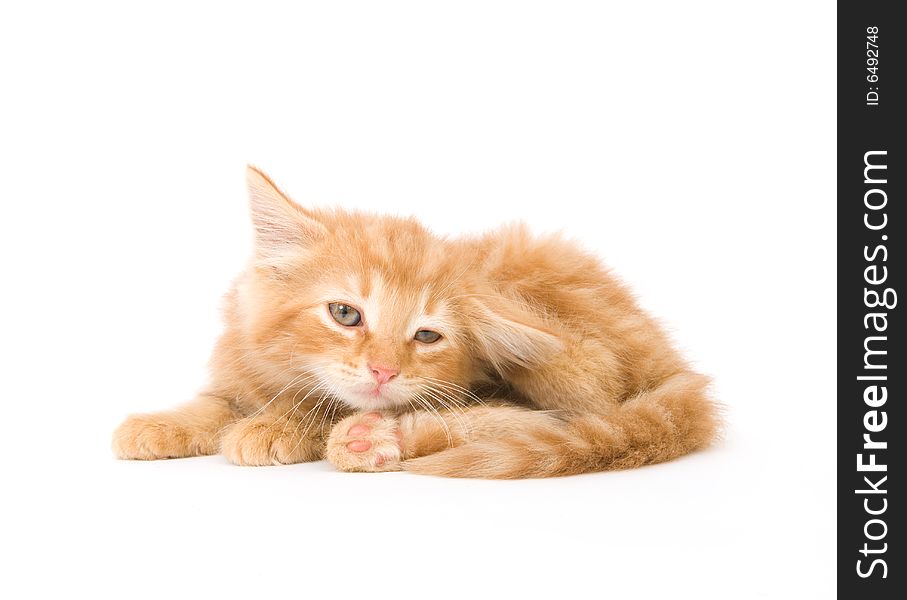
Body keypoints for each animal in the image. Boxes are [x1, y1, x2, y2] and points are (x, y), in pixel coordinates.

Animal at [113, 166, 724, 480]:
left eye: (426, 335)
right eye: (345, 314)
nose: (384, 372)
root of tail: (674, 363)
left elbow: (317, 406)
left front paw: (280, 425)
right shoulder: (240, 364)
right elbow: (214, 403)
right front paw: (159, 423)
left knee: (561, 410)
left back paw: (377, 437)